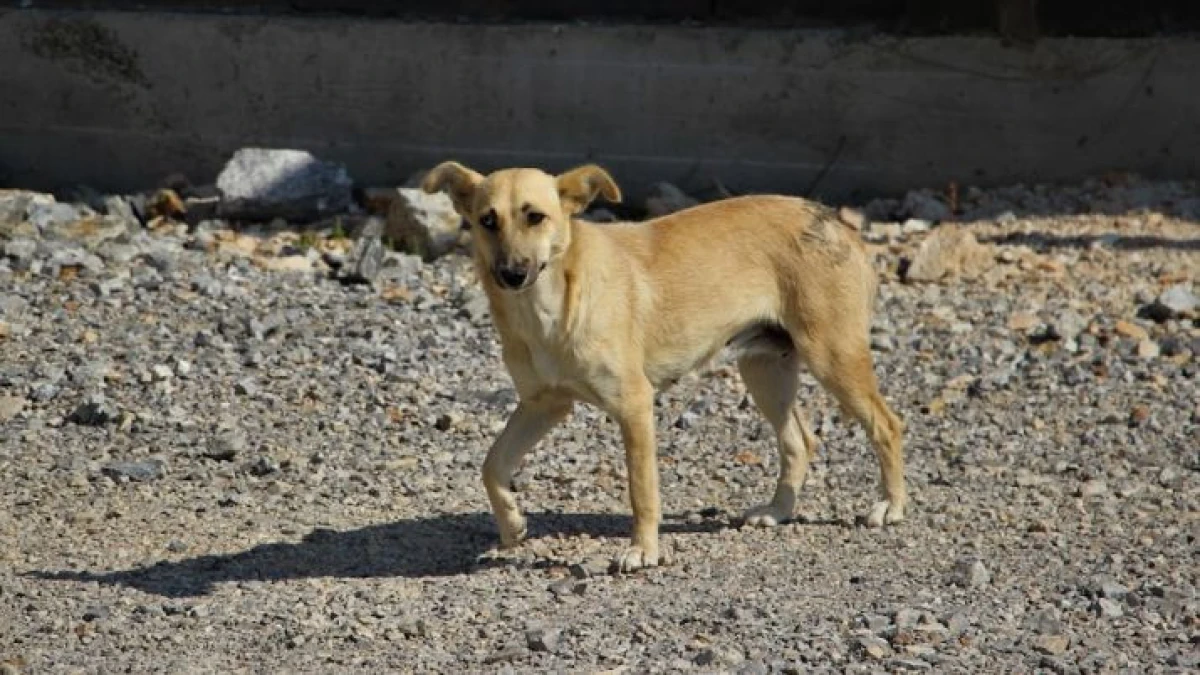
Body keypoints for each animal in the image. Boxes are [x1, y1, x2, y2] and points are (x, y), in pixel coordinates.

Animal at [424, 162, 907, 566]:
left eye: (535, 217)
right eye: (488, 221)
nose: (512, 273)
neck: (548, 308)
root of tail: (839, 224)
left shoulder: (634, 405)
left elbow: (641, 490)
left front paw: (643, 551)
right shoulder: (544, 405)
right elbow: (492, 466)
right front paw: (512, 525)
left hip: (832, 357)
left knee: (886, 424)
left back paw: (890, 506)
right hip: (765, 370)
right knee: (799, 441)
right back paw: (778, 510)